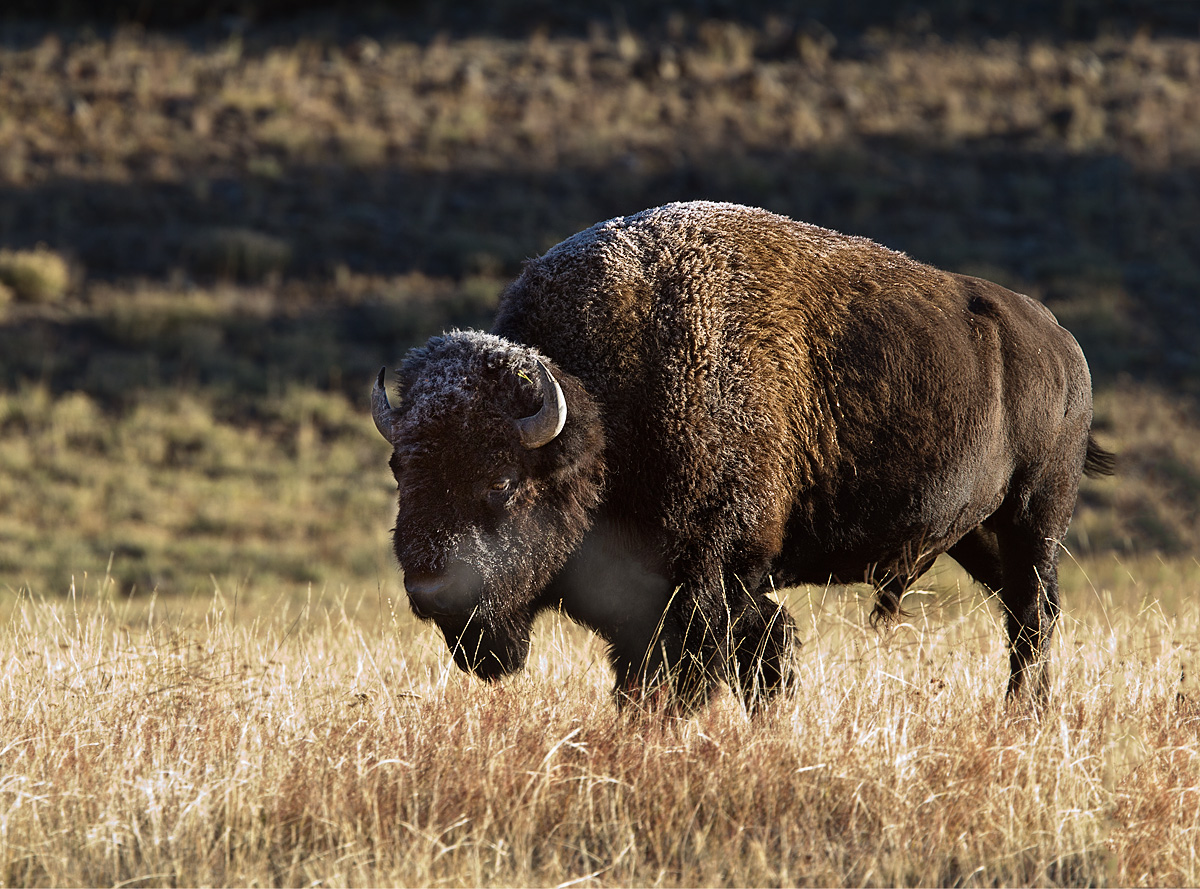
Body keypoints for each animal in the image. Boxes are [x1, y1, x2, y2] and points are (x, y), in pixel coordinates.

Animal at [373, 201, 1113, 712]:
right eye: (401, 470)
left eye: (500, 481)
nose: (431, 589)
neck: (607, 411)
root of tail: (1062, 342)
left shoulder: (714, 579)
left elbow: (735, 661)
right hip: (975, 532)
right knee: (1018, 613)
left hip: (1033, 516)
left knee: (1033, 615)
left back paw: (1024, 715)